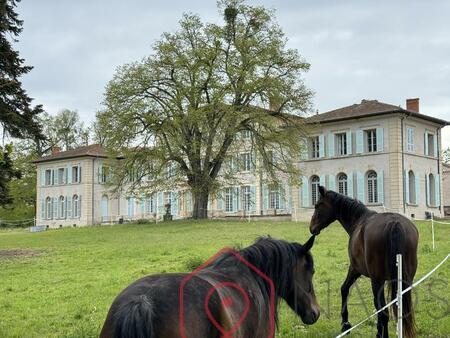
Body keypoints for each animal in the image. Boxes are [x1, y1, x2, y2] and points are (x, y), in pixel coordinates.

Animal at [310, 186, 418, 336]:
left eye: (317, 205)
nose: (311, 227)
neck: (358, 221)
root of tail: (394, 223)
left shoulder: (355, 269)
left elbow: (344, 289)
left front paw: (345, 324)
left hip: (377, 281)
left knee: (384, 312)